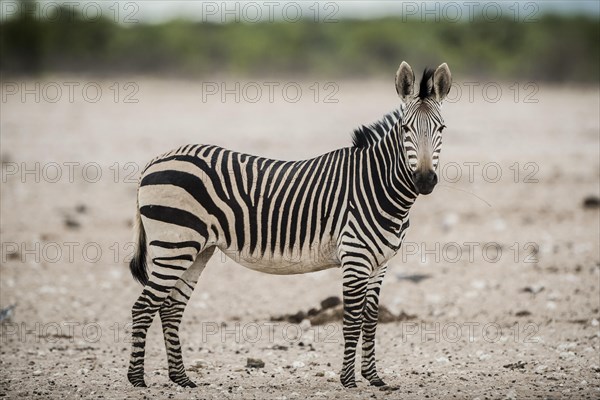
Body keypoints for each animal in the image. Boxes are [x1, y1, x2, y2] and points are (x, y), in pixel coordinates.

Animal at [129, 61, 452, 390]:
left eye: (441, 129)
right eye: (405, 129)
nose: (424, 181)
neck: (375, 185)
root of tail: (155, 160)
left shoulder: (380, 263)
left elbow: (371, 320)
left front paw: (374, 378)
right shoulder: (356, 258)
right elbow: (352, 320)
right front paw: (349, 380)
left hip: (196, 250)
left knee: (170, 308)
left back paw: (181, 378)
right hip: (175, 245)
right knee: (144, 307)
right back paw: (137, 379)